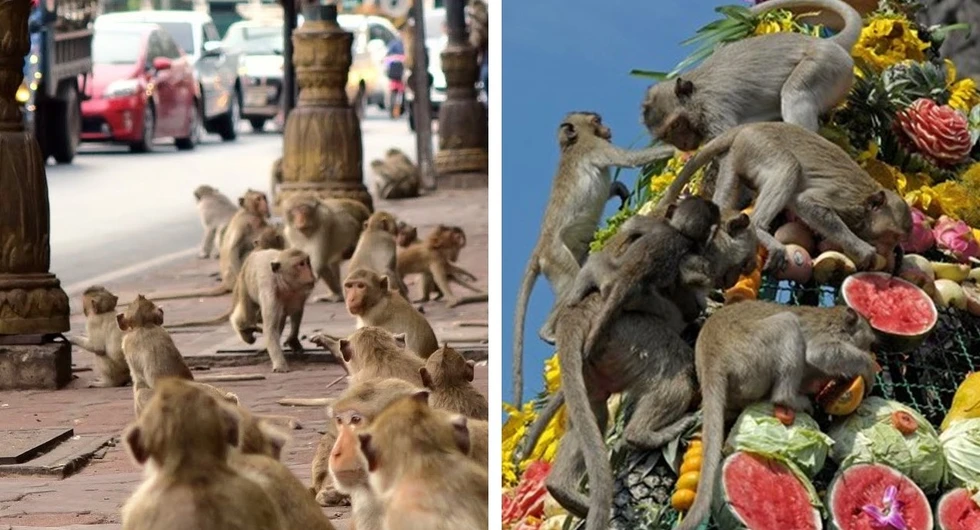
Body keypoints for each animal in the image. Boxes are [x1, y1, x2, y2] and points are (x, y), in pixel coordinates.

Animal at [512, 111, 675, 405]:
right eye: (596, 120)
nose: (607, 128)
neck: (572, 144)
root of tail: (540, 249)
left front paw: (619, 189)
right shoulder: (594, 147)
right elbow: (628, 159)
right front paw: (676, 148)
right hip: (556, 257)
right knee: (571, 281)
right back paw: (547, 331)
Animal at [641, 0, 862, 154]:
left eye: (676, 124)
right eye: (666, 134)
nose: (683, 145)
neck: (695, 94)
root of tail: (826, 42)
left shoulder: (714, 111)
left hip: (826, 63)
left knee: (794, 93)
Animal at [654, 122, 912, 273]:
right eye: (892, 236)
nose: (889, 250)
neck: (867, 201)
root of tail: (749, 126)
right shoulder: (846, 201)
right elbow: (807, 204)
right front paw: (862, 249)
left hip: (735, 157)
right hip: (759, 146)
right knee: (789, 166)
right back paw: (759, 228)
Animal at [675, 301, 879, 530]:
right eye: (869, 342)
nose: (871, 352)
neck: (834, 318)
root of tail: (712, 360)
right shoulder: (830, 335)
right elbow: (819, 353)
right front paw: (868, 369)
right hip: (752, 356)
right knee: (787, 324)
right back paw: (791, 399)